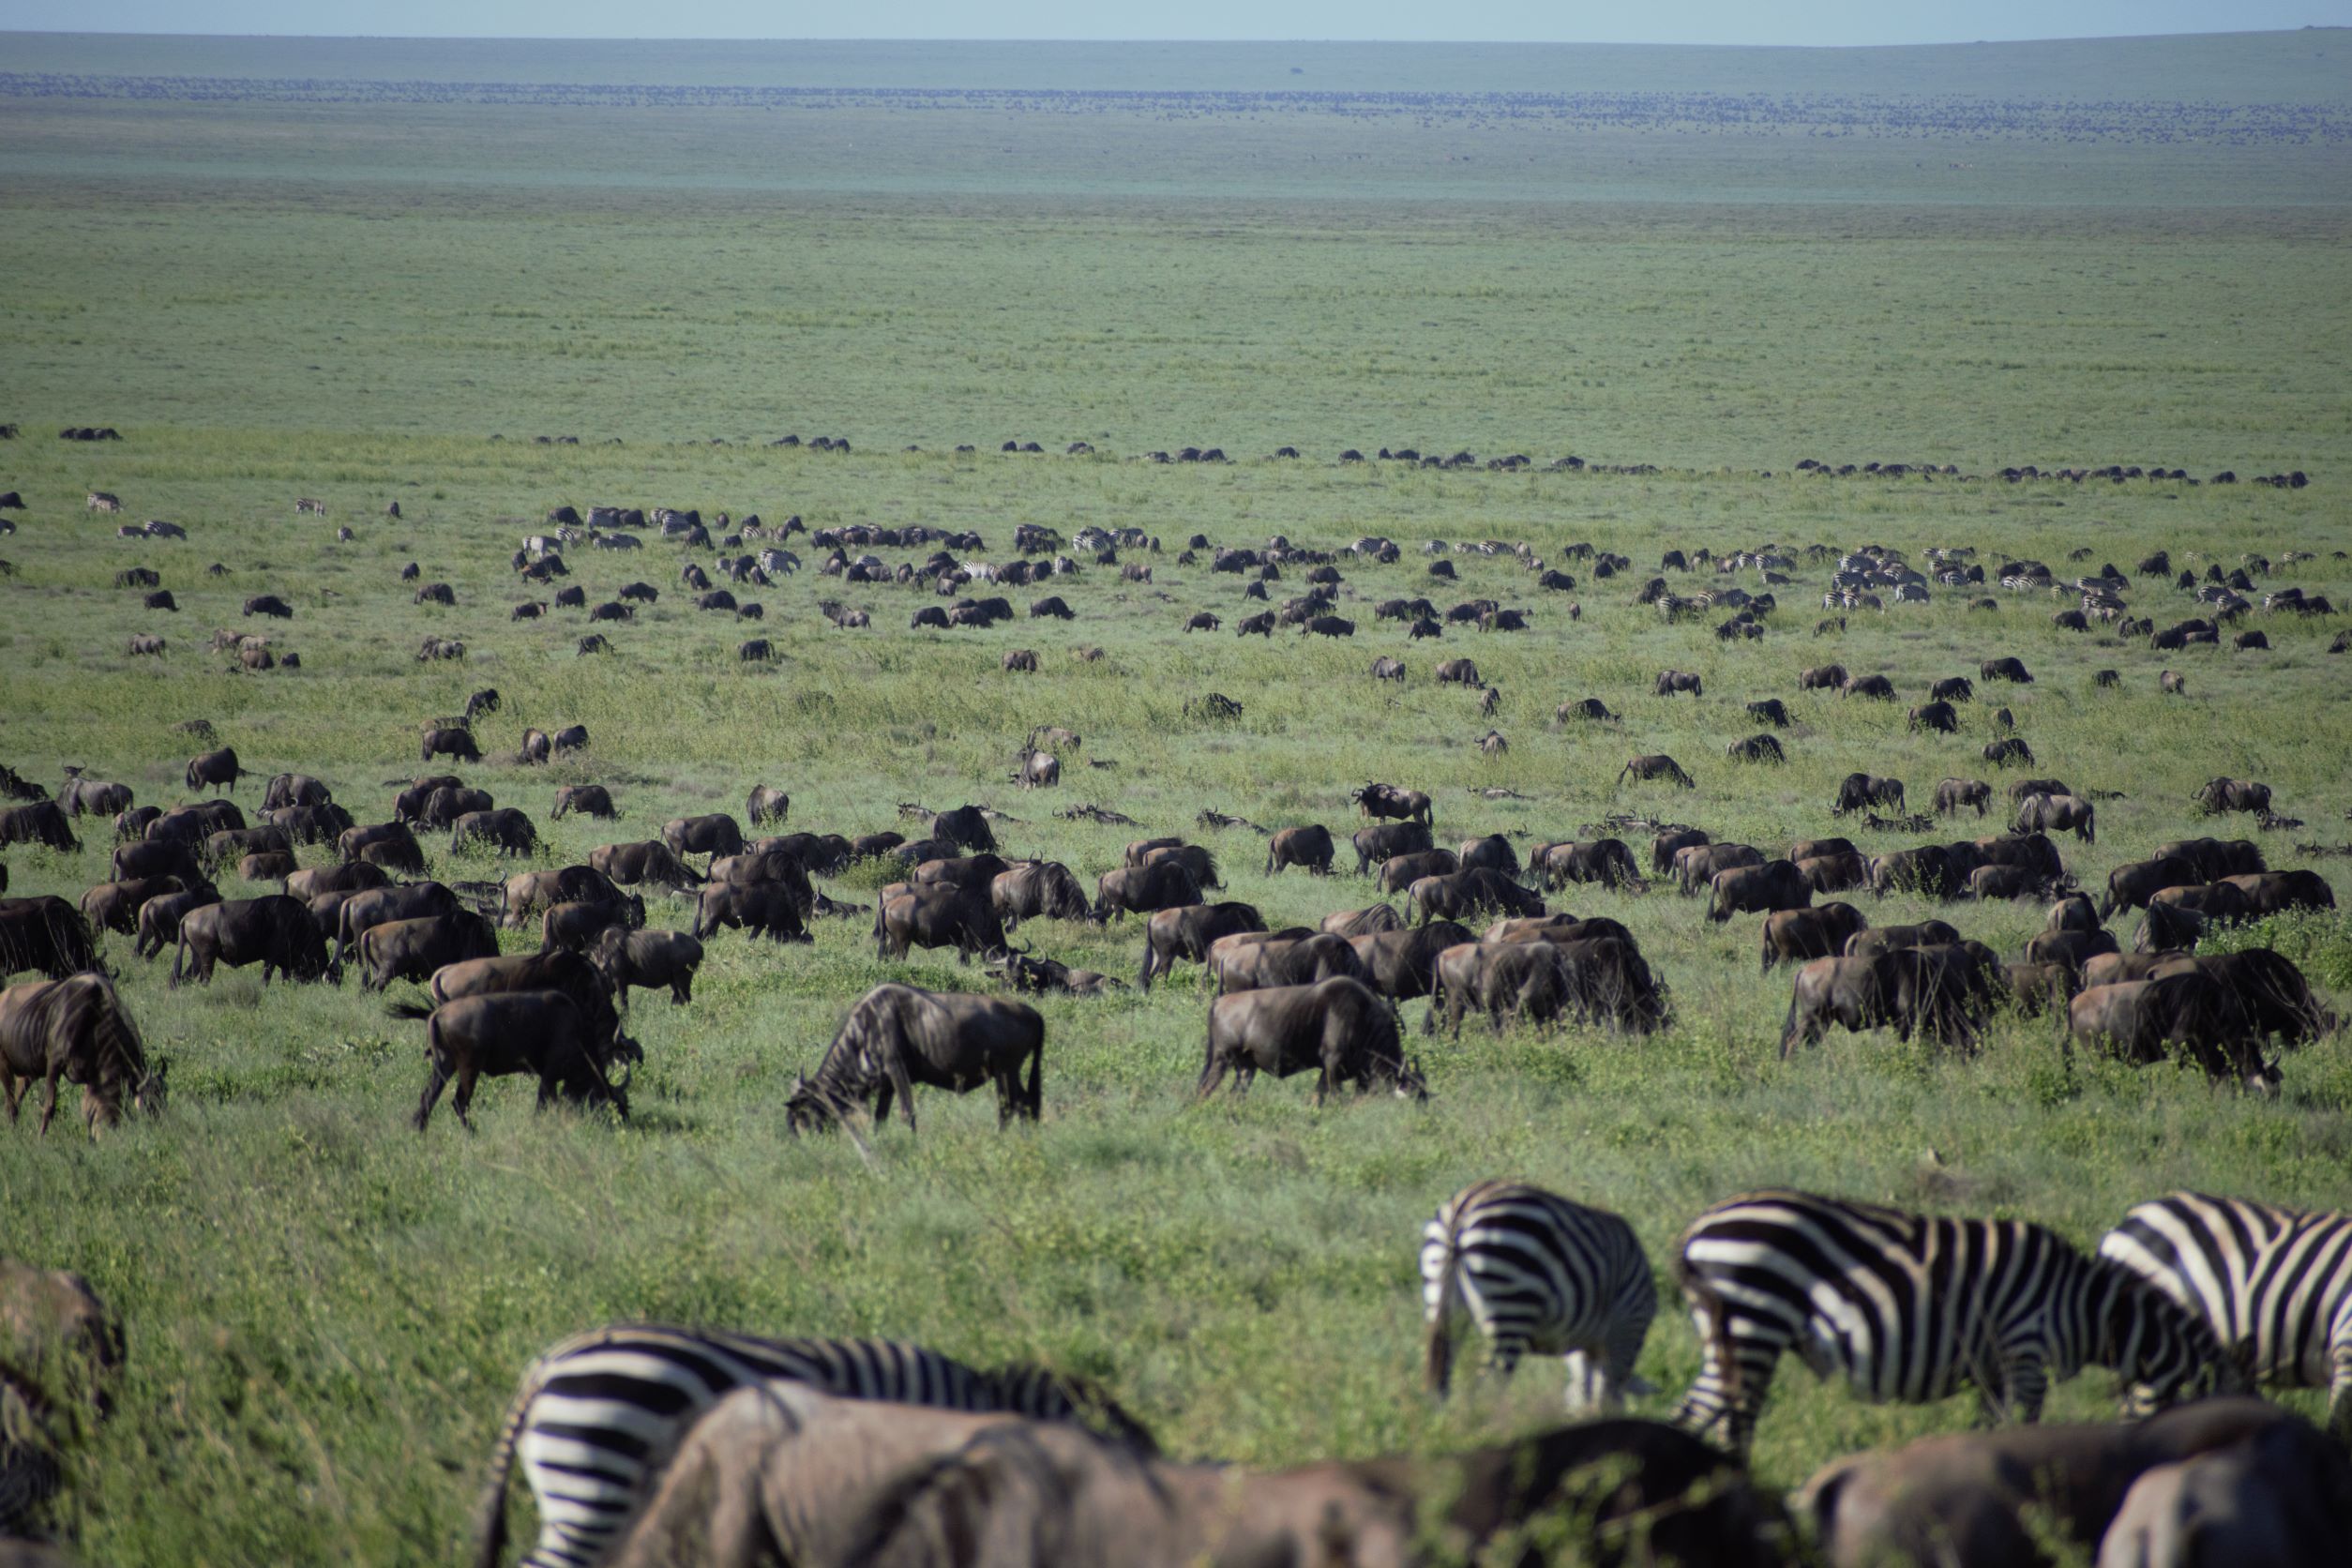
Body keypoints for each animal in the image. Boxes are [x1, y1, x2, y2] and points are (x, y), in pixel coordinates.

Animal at [1410, 1175, 1655, 1410]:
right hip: (1512, 1308)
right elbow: (1600, 1393)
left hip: (1441, 1300)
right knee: (1489, 1387)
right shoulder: (1625, 1326)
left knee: (1441, 1378)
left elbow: (1580, 1390)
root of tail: (1462, 1208)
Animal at [1665, 1189, 2229, 1457]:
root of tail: (1696, 1228)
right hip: (1752, 1321)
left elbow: (1989, 1425)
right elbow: (2025, 1421)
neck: (2084, 1306)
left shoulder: (1994, 1368)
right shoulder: (2024, 1346)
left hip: (1734, 1334)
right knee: (1717, 1418)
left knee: (1710, 1415)